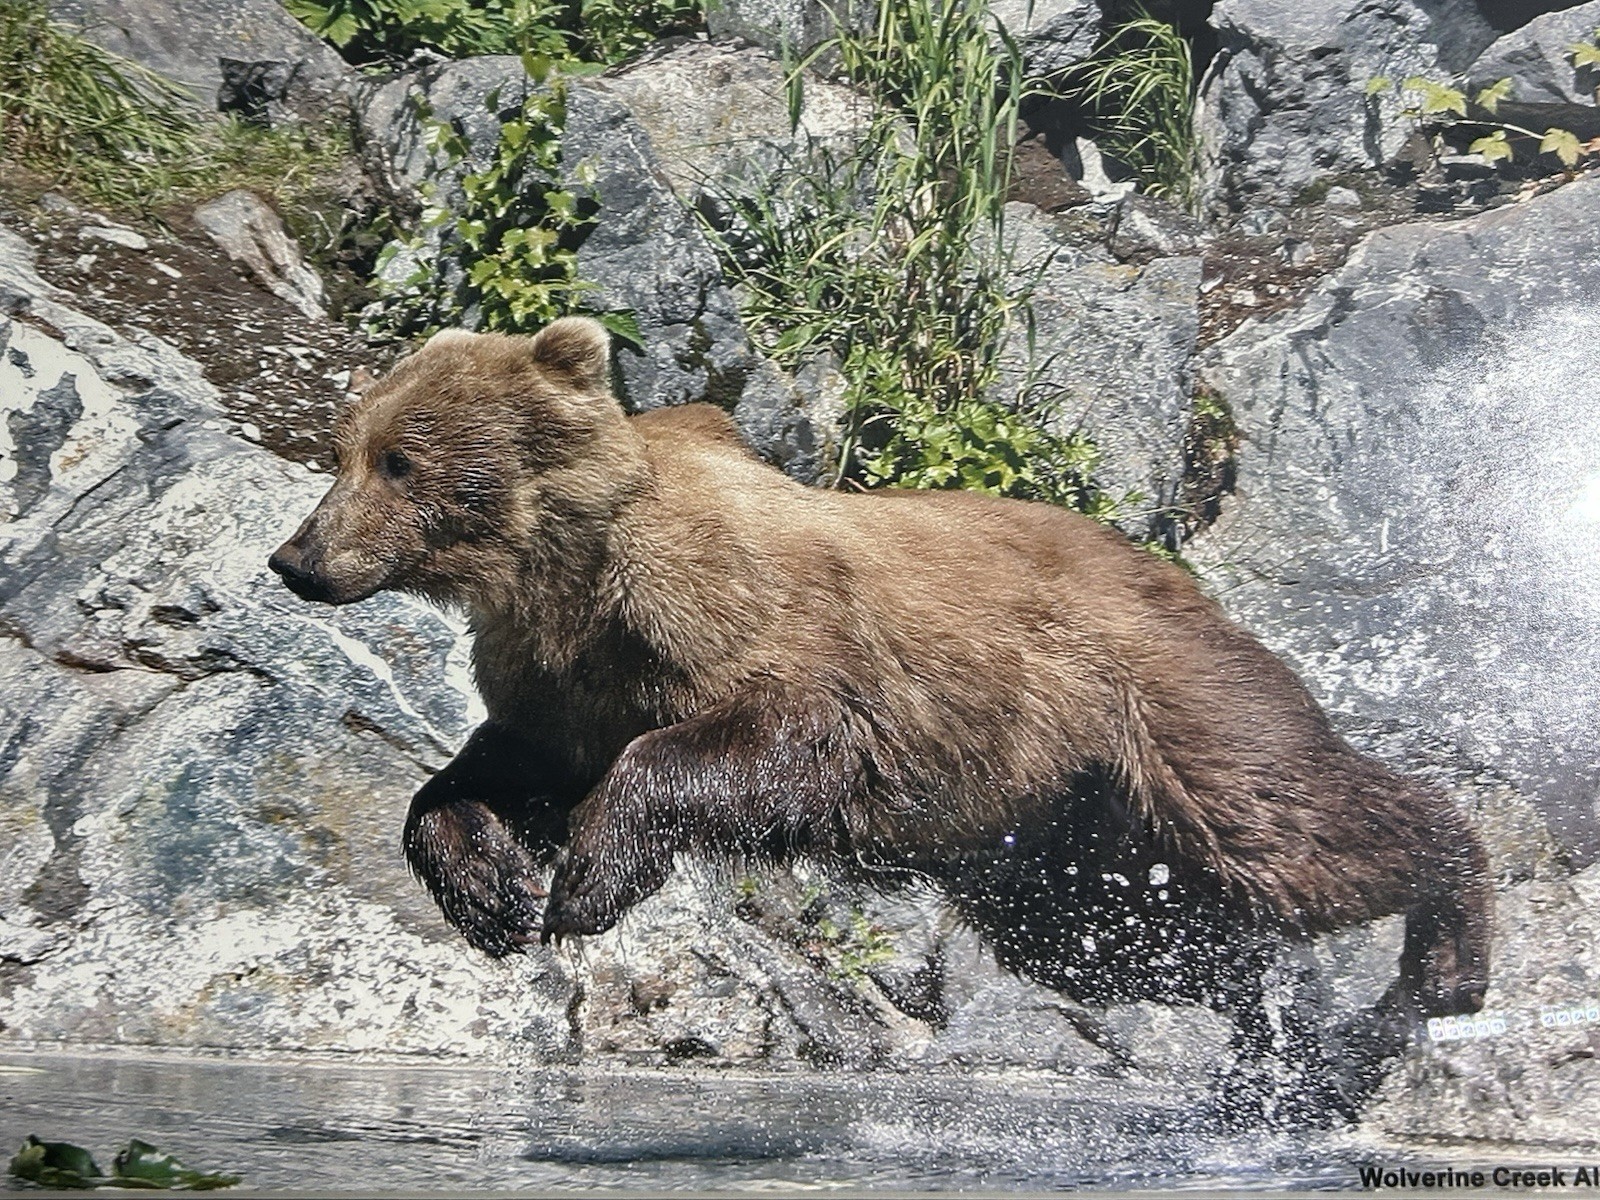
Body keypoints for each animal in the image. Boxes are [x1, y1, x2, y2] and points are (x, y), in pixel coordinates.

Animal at [268, 317, 1490, 1090]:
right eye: (346, 449)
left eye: (400, 459)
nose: (297, 558)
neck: (559, 577)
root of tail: (1183, 576)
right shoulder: (552, 683)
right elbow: (482, 773)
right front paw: (494, 893)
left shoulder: (747, 628)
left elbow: (778, 737)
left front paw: (585, 882)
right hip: (1063, 834)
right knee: (1127, 943)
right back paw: (1278, 1036)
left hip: (1156, 707)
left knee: (1282, 829)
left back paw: (1444, 949)